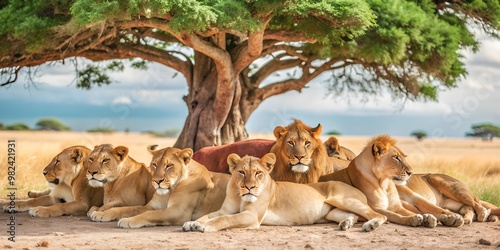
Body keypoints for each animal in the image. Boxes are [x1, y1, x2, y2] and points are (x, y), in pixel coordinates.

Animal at [88, 145, 230, 229]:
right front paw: (101, 213)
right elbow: (125, 208)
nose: (156, 181)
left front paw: (128, 220)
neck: (169, 190)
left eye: (169, 166)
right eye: (154, 164)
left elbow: (150, 214)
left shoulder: (179, 211)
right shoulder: (151, 205)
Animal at [183, 153, 386, 233]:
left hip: (343, 199)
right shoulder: (224, 210)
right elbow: (208, 216)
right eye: (241, 172)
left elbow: (225, 220)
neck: (240, 195)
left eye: (258, 173)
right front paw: (193, 223)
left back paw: (371, 225)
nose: (249, 187)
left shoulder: (251, 216)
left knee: (379, 215)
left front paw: (206, 227)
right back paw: (345, 224)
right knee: (352, 215)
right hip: (332, 212)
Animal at [320, 136, 464, 228]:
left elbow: (410, 211)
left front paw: (425, 218)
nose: (411, 172)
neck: (384, 183)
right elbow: (395, 216)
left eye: (404, 157)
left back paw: (452, 218)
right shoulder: (375, 207)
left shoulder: (397, 206)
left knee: (427, 205)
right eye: (395, 158)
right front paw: (415, 219)